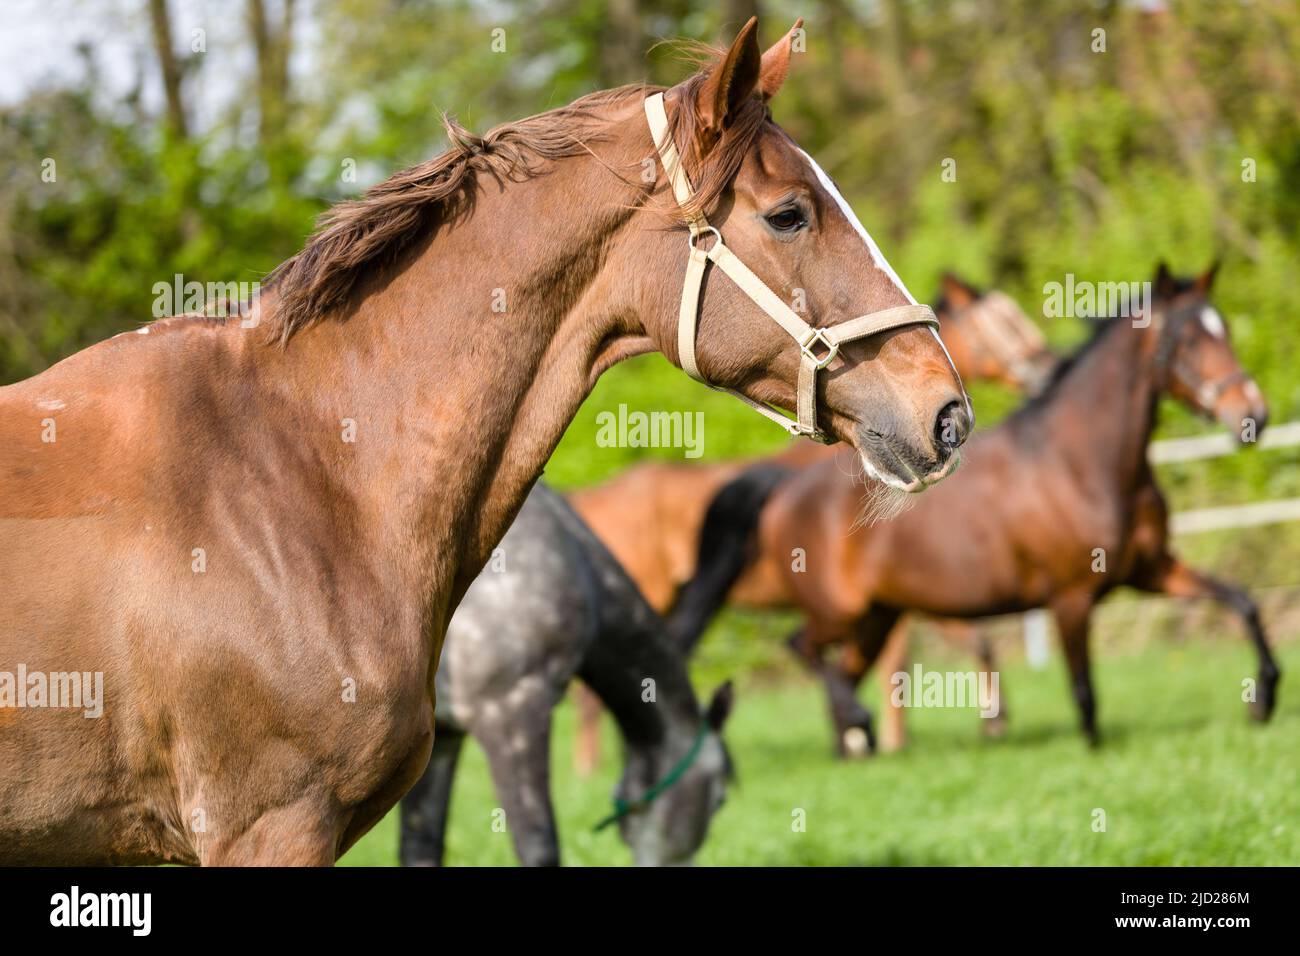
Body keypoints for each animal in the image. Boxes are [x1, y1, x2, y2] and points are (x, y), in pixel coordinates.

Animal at [676, 264, 1274, 754]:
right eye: (1188, 338)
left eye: (1223, 328)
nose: (1253, 414)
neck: (1084, 463)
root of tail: (787, 487)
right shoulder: (1071, 598)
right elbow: (1084, 693)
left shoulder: (1151, 571)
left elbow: (1242, 601)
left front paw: (1263, 700)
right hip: (838, 612)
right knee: (801, 647)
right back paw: (858, 726)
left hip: (876, 618)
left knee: (841, 672)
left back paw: (858, 737)